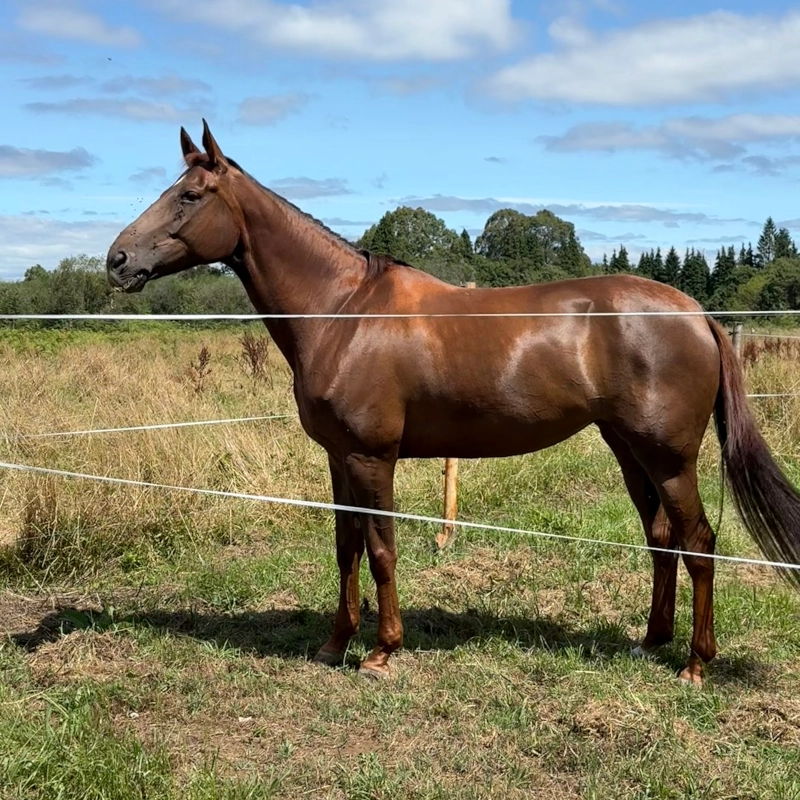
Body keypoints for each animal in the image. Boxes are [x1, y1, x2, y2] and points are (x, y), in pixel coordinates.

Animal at [106, 120, 800, 686]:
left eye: (190, 196)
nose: (117, 259)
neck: (342, 310)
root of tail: (697, 314)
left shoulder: (372, 457)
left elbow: (382, 548)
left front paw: (382, 651)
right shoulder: (338, 458)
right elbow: (346, 546)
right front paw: (334, 645)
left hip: (670, 458)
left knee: (699, 541)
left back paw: (694, 664)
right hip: (630, 450)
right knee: (661, 539)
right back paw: (650, 642)